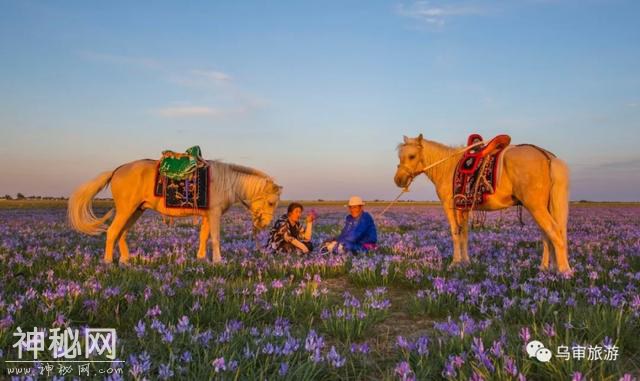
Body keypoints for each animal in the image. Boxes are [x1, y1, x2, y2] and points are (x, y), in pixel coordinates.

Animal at [67, 159, 282, 262]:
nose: (264, 224)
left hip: (136, 211)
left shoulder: (207, 215)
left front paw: (201, 258)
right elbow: (215, 238)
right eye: (272, 203)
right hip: (126, 210)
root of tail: (117, 170)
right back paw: (108, 262)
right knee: (112, 232)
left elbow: (204, 236)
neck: (225, 181)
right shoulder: (214, 214)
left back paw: (126, 260)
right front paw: (218, 260)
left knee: (122, 233)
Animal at [396, 134, 568, 274]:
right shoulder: (463, 208)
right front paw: (466, 262)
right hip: (543, 207)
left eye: (411, 156)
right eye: (400, 156)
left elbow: (455, 234)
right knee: (547, 235)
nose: (398, 180)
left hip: (535, 206)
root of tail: (546, 155)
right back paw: (545, 268)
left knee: (554, 231)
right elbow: (464, 235)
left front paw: (454, 263)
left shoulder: (450, 207)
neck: (447, 168)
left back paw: (564, 272)